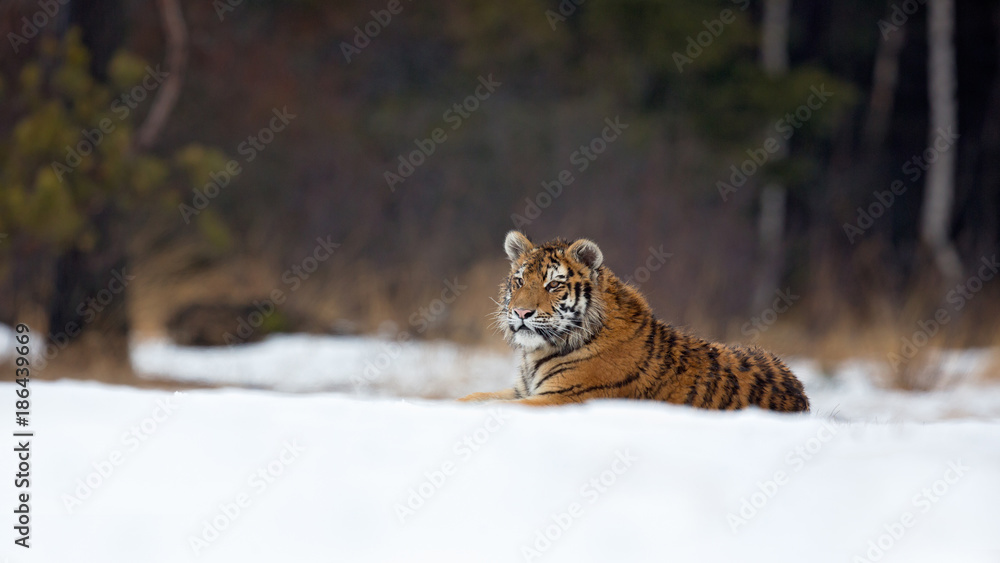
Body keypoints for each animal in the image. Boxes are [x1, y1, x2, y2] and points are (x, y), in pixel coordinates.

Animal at [458, 231, 810, 412]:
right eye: (519, 282)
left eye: (554, 285)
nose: (520, 313)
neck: (537, 353)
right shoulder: (521, 390)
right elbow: (475, 397)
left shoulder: (564, 397)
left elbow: (493, 407)